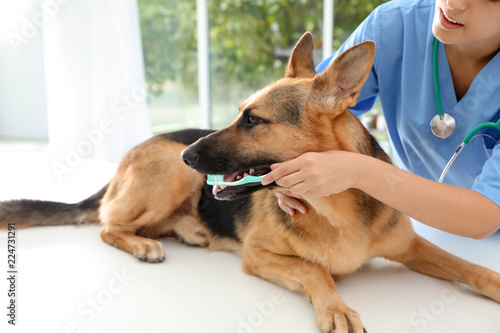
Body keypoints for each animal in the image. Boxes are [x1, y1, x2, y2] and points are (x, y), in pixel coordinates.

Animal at [0, 33, 500, 330]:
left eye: (253, 120)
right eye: (239, 113)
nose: (188, 154)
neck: (334, 209)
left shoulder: (410, 247)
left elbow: (467, 266)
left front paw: (491, 280)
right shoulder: (259, 256)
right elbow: (316, 269)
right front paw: (336, 306)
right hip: (167, 180)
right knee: (108, 225)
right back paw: (144, 243)